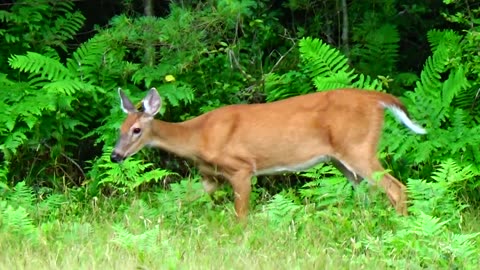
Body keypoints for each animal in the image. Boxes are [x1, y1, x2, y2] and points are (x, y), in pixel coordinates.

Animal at [112, 88, 428, 219]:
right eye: (120, 127)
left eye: (137, 130)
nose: (115, 156)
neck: (199, 137)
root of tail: (377, 99)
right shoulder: (209, 177)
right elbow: (177, 199)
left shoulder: (241, 168)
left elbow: (241, 216)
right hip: (343, 160)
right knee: (369, 193)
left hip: (358, 147)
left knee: (395, 188)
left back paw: (402, 224)